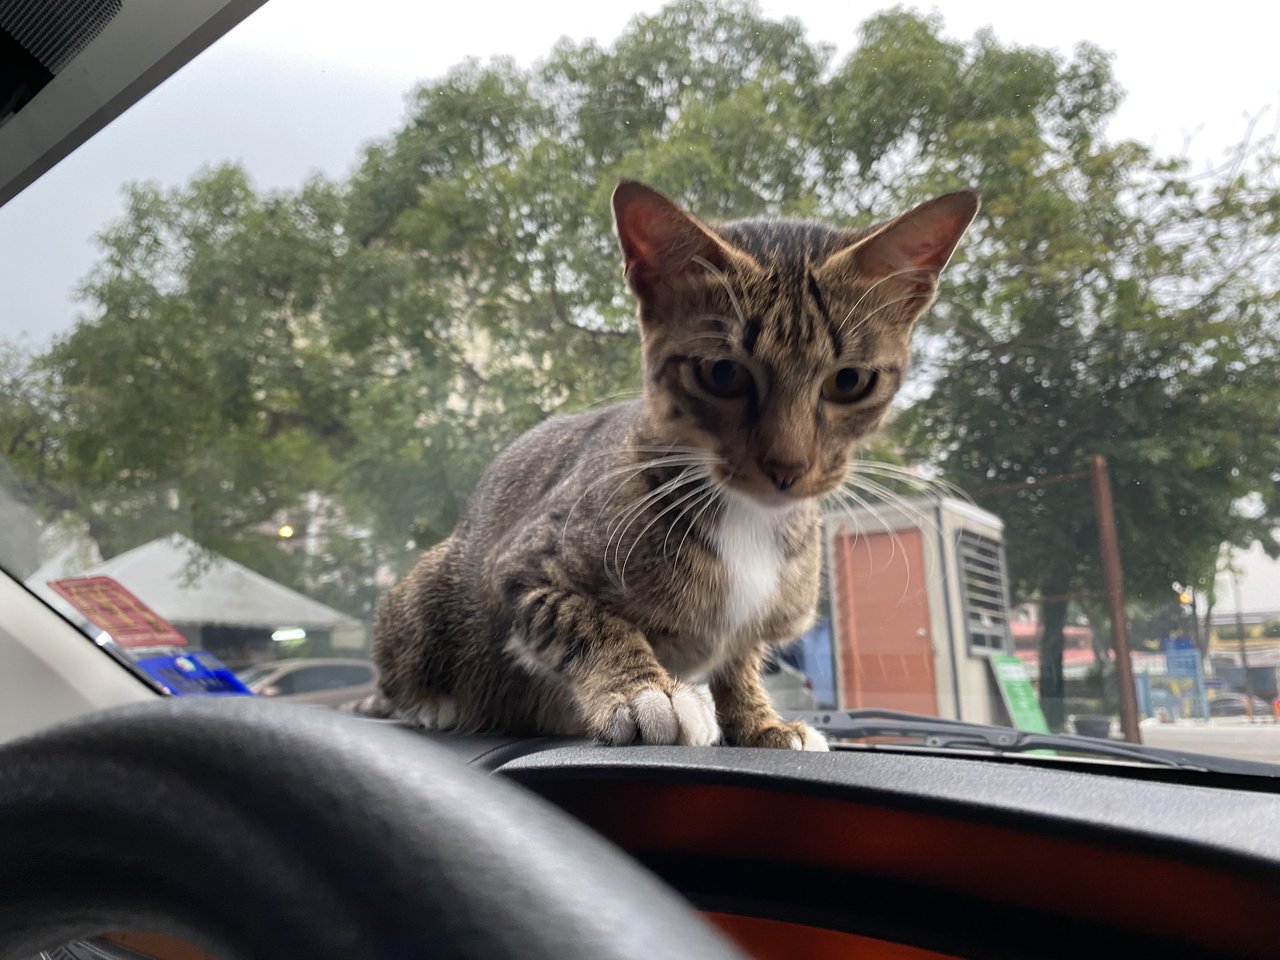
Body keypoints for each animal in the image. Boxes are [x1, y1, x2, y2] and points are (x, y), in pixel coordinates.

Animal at [360, 180, 977, 752]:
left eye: (850, 381)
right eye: (722, 374)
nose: (787, 465)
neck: (746, 518)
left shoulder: (750, 630)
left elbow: (740, 659)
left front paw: (761, 722)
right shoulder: (519, 566)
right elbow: (584, 618)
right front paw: (646, 691)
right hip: (429, 592)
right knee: (399, 677)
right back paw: (431, 704)